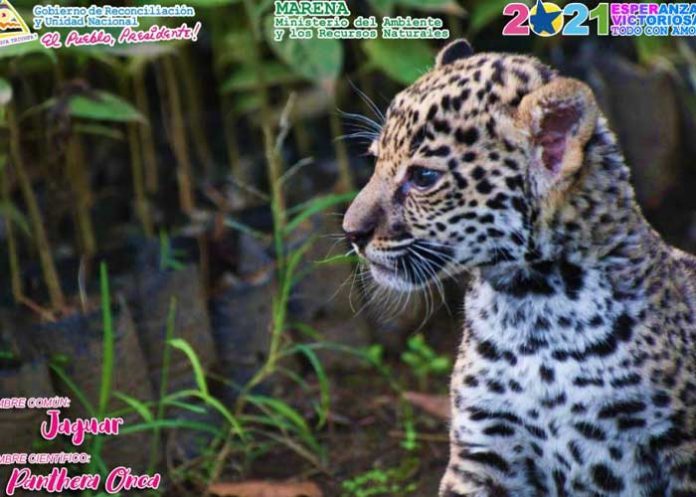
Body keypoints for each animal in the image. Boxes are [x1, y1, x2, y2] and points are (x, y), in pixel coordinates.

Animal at [342, 39, 696, 497]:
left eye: (423, 178)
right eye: (375, 160)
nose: (351, 231)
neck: (534, 310)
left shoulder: (679, 448)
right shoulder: (485, 447)